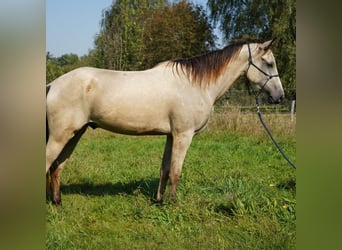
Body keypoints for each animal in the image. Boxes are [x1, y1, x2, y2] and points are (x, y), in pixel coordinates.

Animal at [46, 38, 286, 203]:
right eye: (269, 63)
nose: (280, 96)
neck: (195, 84)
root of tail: (53, 84)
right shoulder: (183, 135)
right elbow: (176, 171)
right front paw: (172, 203)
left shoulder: (171, 135)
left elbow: (165, 169)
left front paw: (159, 200)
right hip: (60, 136)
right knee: (49, 163)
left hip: (75, 134)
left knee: (57, 167)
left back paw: (58, 202)